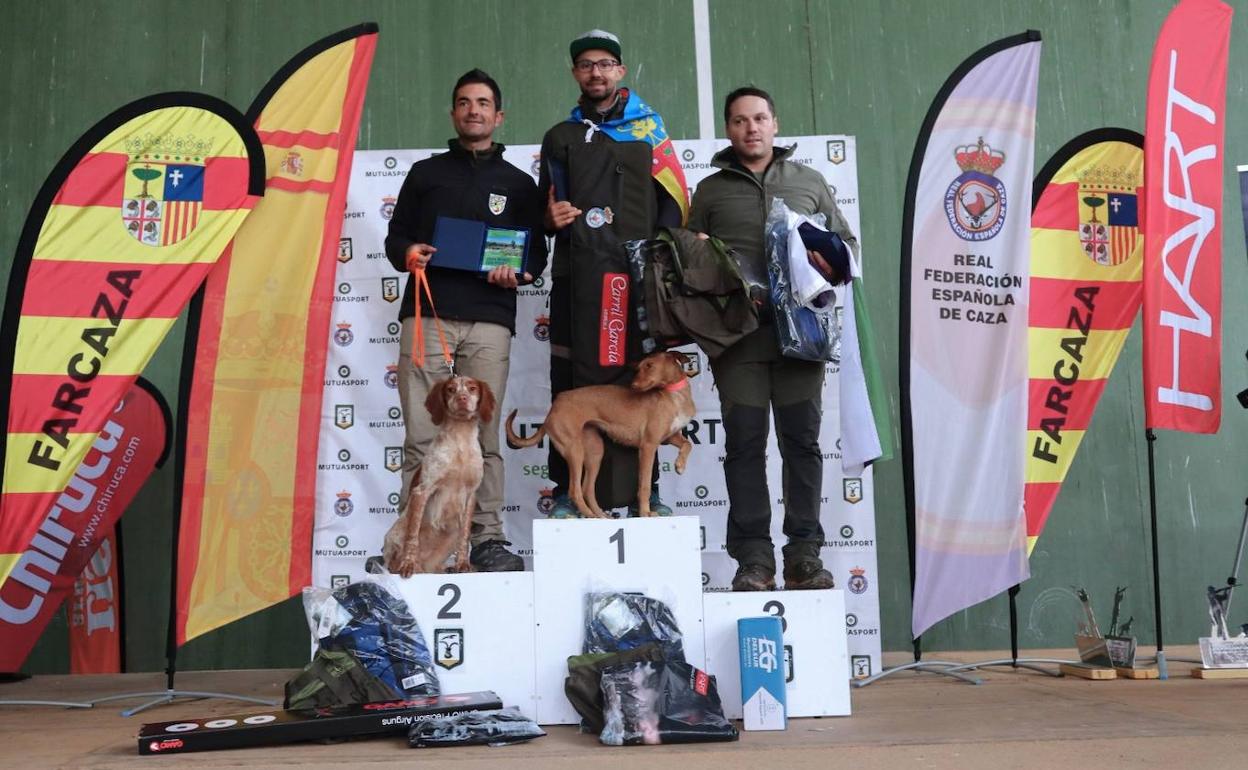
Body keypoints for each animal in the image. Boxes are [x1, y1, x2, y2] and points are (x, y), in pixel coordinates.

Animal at [381, 371, 494, 576]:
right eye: (451, 389)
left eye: (472, 388)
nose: (462, 398)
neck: (461, 439)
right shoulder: (422, 491)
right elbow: (413, 536)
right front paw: (407, 565)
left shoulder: (470, 495)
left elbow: (465, 537)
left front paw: (462, 565)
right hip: (395, 533)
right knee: (395, 556)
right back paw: (404, 565)